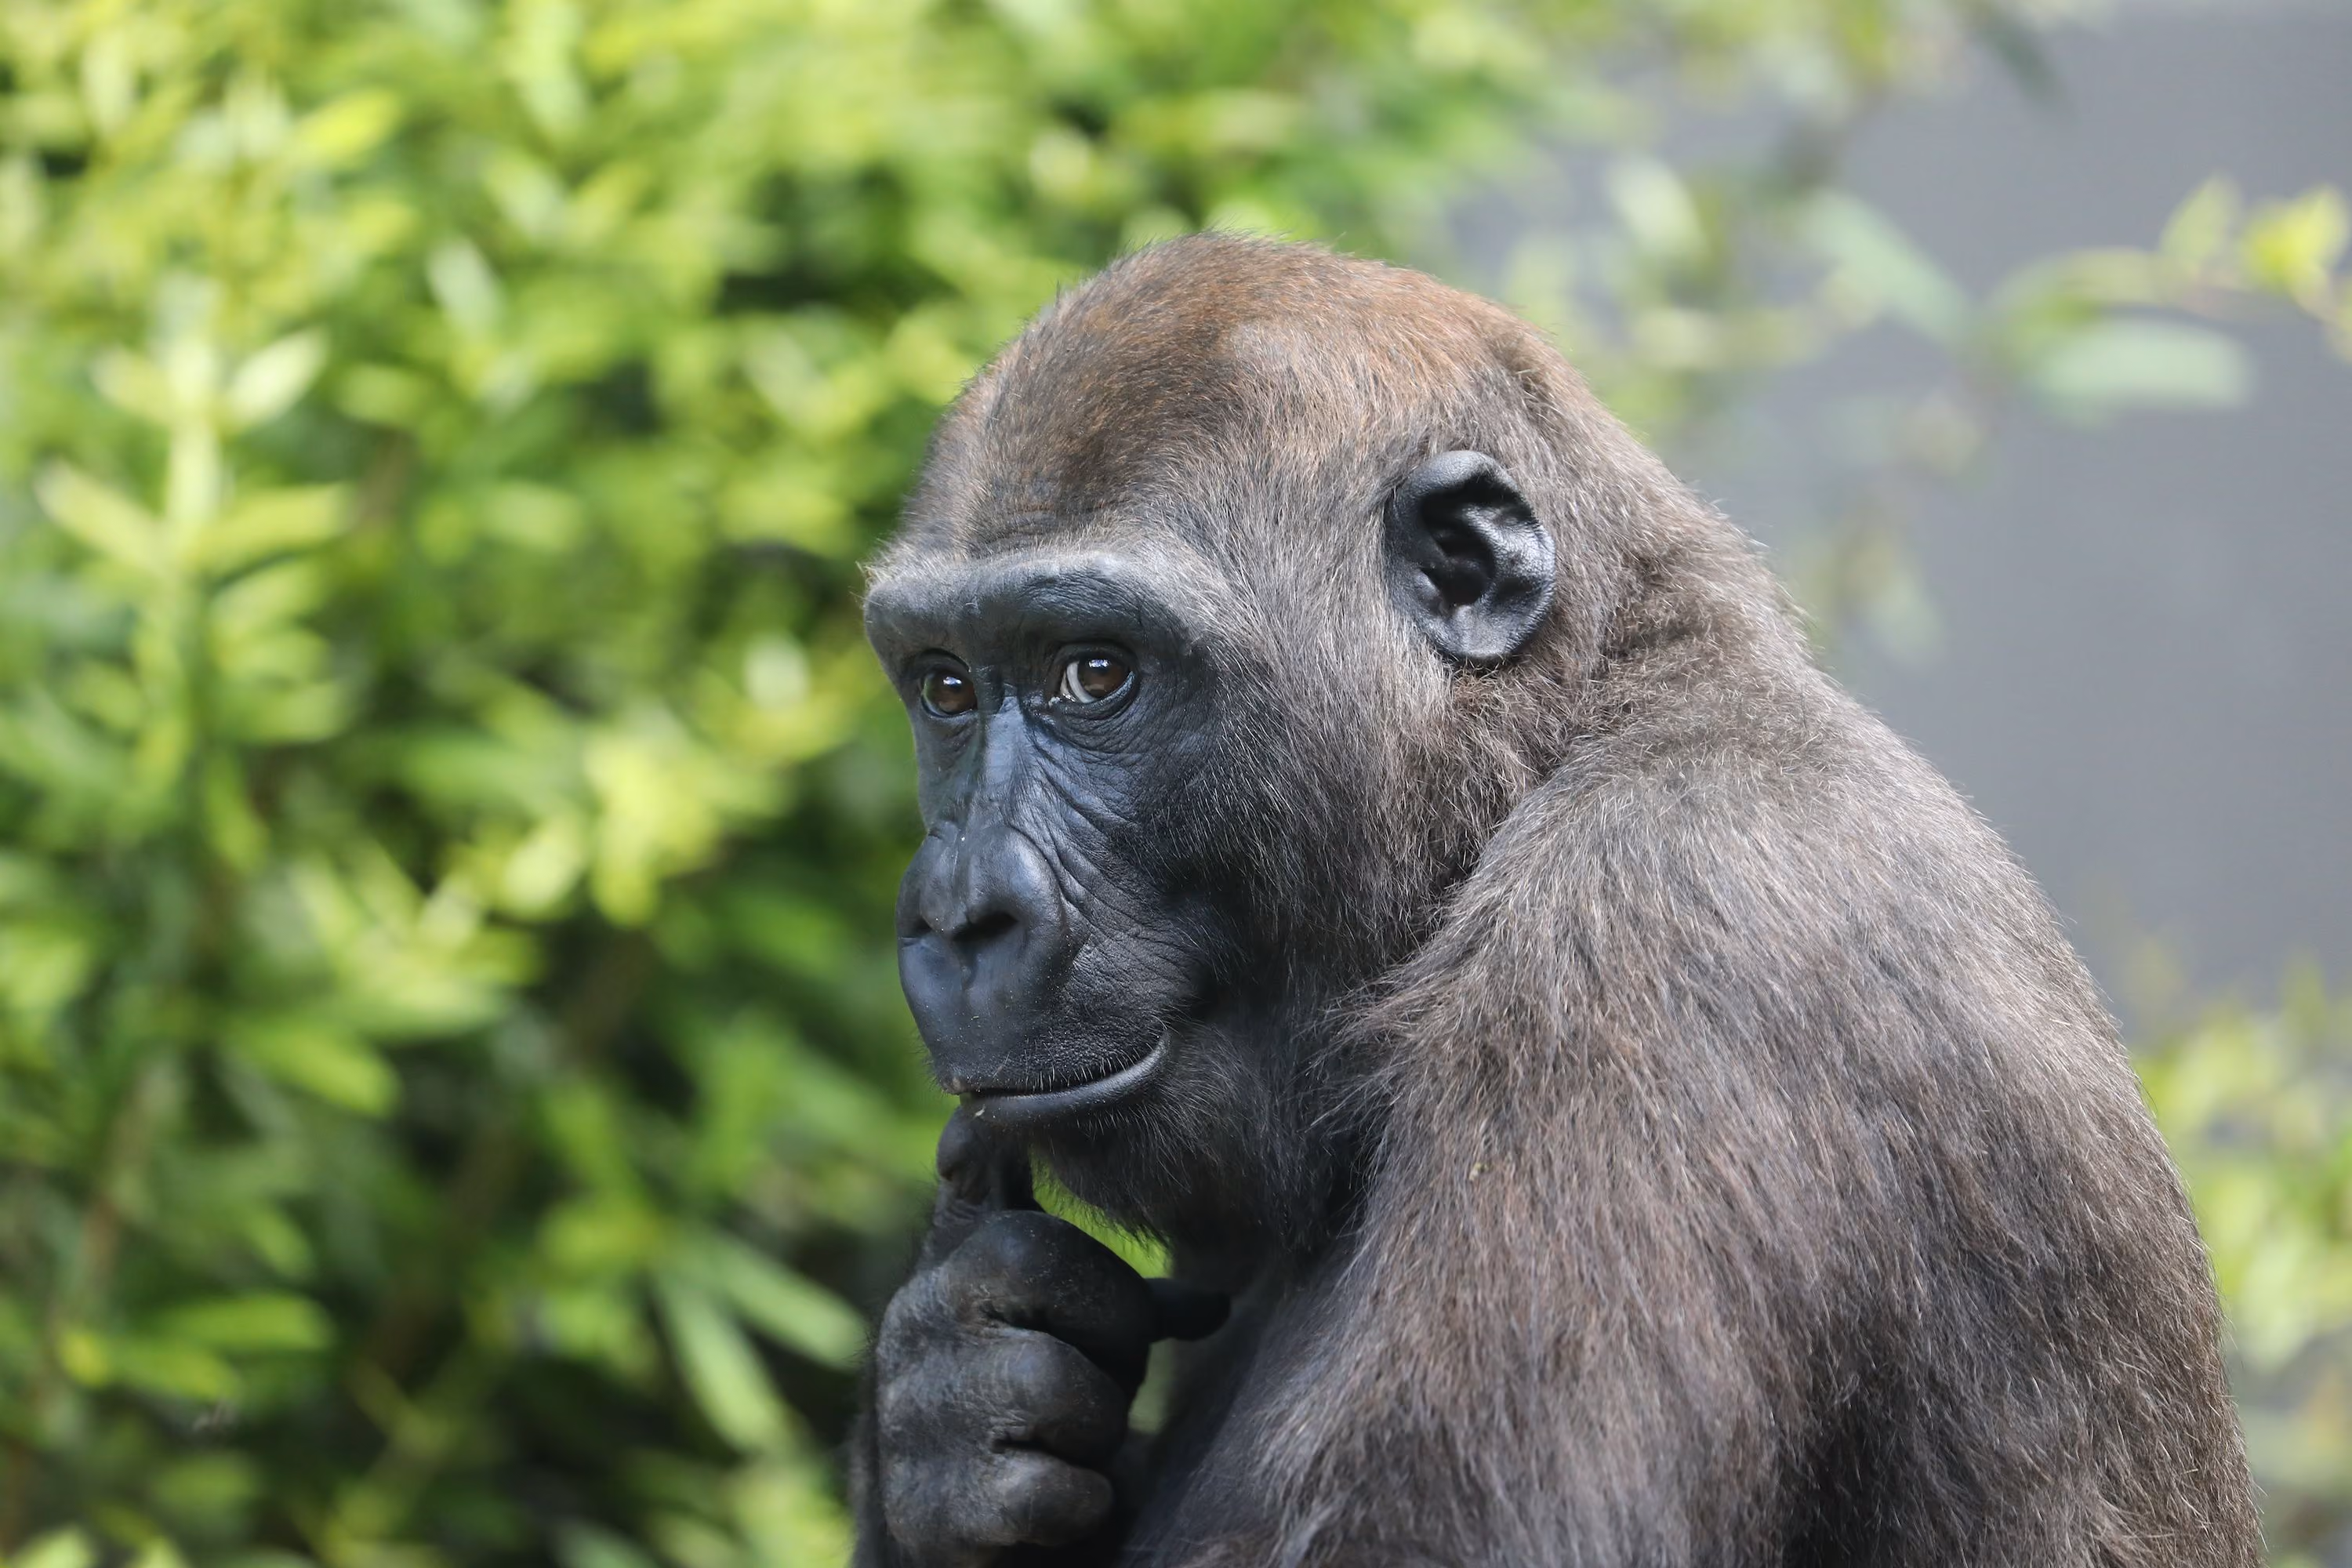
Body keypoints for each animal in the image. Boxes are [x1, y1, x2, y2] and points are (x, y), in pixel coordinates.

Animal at [852, 233, 2260, 1567]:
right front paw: (944, 1413)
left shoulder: (1651, 929)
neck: (1572, 731)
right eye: (945, 690)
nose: (960, 913)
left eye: (1096, 674)